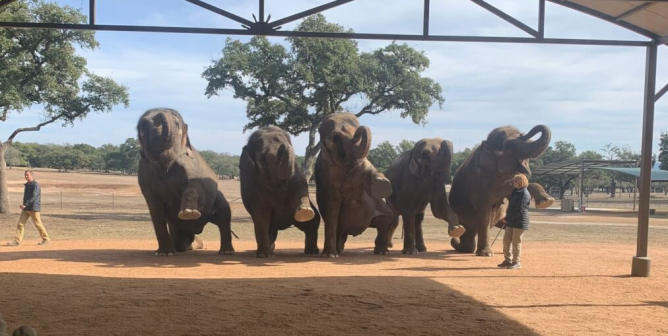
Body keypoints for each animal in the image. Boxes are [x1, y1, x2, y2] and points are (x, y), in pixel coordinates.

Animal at [137, 109, 236, 256]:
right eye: (143, 126)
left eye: (178, 124)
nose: (160, 111)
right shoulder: (144, 174)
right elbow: (154, 208)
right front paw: (165, 254)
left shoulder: (187, 163)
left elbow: (196, 185)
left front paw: (189, 213)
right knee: (180, 239)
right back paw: (181, 248)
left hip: (217, 198)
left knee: (224, 216)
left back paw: (226, 252)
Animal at [241, 126, 322, 258]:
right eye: (263, 159)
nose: (284, 143)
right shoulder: (250, 180)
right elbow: (260, 216)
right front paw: (265, 256)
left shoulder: (297, 171)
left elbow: (300, 186)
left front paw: (305, 211)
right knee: (267, 228)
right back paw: (268, 251)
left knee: (312, 223)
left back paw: (312, 251)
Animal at [314, 113, 394, 258]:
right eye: (336, 138)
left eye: (356, 127)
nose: (362, 127)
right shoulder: (326, 174)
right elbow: (332, 208)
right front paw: (330, 256)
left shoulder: (363, 163)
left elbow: (369, 180)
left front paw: (383, 184)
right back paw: (337, 251)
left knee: (387, 218)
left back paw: (382, 252)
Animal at [448, 124, 552, 256]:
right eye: (510, 146)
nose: (525, 133)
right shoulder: (478, 183)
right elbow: (484, 213)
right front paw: (486, 254)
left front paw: (547, 201)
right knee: (470, 240)